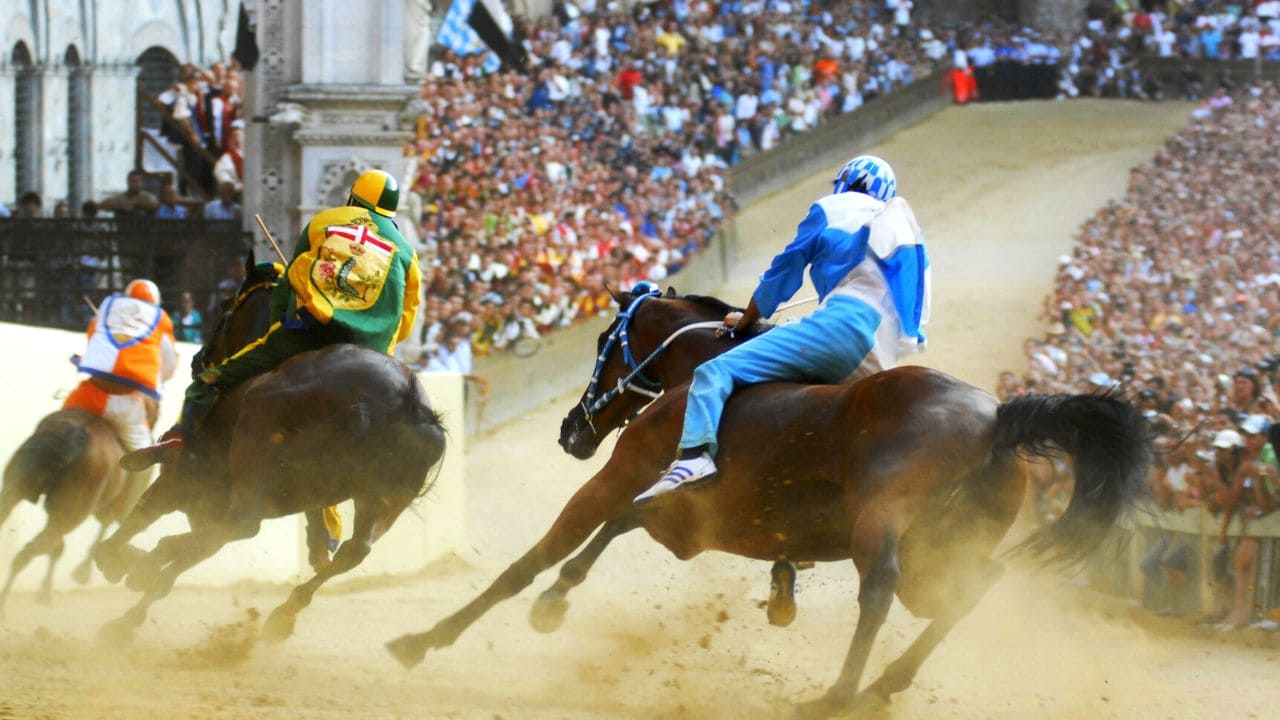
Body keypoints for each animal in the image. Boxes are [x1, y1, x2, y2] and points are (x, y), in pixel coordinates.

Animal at [92, 254, 448, 640]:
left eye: (225, 303)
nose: (199, 359)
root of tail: (403, 399)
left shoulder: (178, 482)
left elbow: (140, 522)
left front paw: (119, 562)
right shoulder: (211, 509)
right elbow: (179, 566)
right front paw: (131, 608)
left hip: (253, 456)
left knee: (243, 524)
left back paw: (152, 555)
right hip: (378, 501)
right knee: (354, 550)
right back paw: (283, 613)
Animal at [386, 286, 1152, 717]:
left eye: (606, 341)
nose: (572, 429)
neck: (699, 373)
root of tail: (999, 418)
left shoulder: (617, 477)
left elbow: (537, 556)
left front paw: (424, 639)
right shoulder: (684, 512)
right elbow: (612, 532)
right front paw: (556, 600)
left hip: (886, 527)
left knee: (879, 590)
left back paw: (837, 696)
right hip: (948, 551)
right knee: (969, 590)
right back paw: (882, 687)